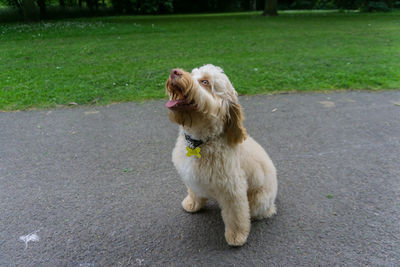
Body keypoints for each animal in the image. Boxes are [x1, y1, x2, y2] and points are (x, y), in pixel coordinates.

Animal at [166, 64, 278, 247]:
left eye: (205, 82)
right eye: (193, 73)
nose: (174, 72)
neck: (200, 143)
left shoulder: (233, 190)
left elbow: (236, 216)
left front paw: (237, 236)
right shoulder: (192, 178)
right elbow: (194, 192)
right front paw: (192, 204)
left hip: (259, 200)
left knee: (263, 211)